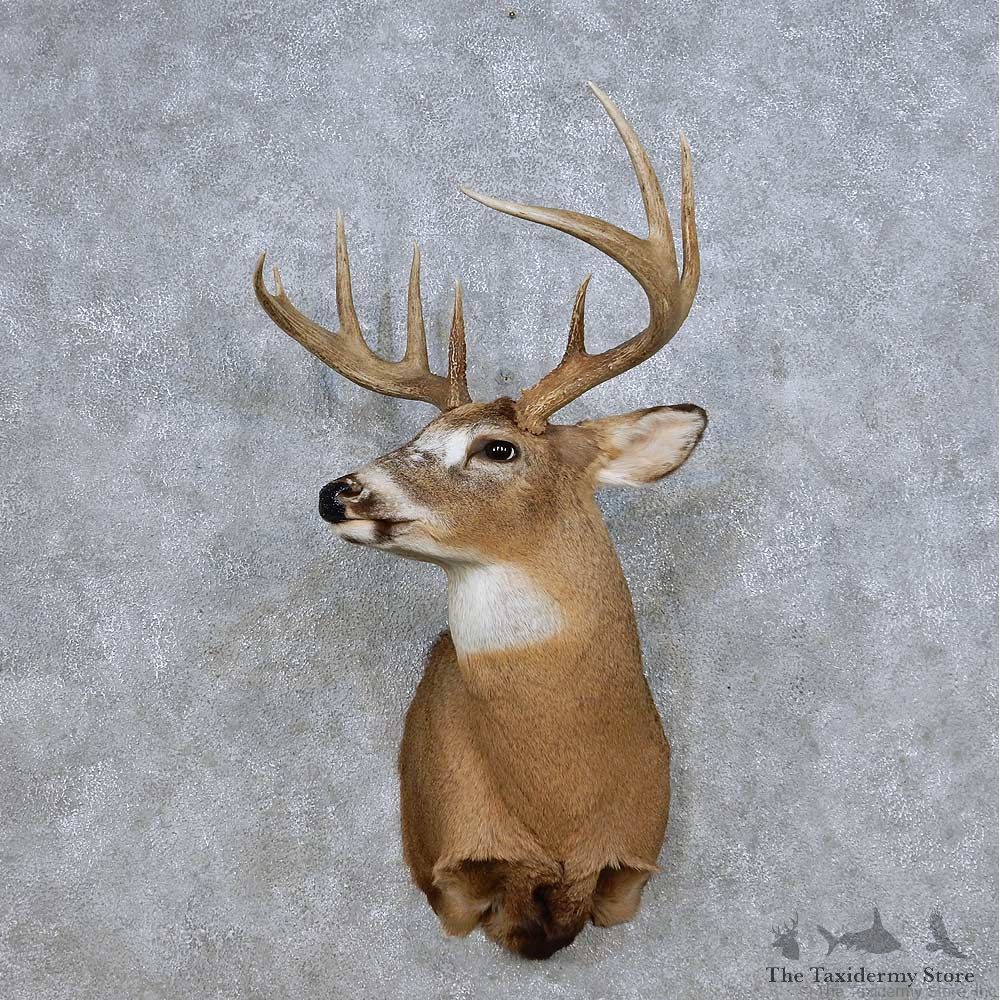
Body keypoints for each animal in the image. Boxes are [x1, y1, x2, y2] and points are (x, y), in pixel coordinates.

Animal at [252, 83, 705, 960]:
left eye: (498, 447)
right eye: (418, 436)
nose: (338, 492)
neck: (558, 804)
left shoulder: (635, 856)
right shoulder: (450, 855)